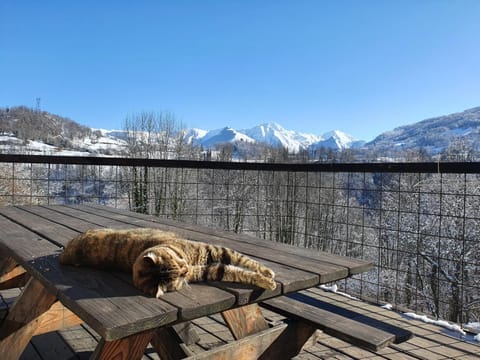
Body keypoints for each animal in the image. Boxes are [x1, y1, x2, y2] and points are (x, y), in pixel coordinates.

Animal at [58, 228, 276, 298]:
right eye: (178, 276)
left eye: (175, 263)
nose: (186, 269)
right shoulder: (209, 269)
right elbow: (235, 271)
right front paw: (267, 281)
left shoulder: (212, 250)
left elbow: (244, 260)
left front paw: (268, 273)